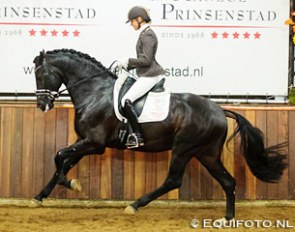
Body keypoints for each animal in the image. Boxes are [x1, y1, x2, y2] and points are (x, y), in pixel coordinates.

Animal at [31, 49, 286, 221]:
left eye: (41, 75)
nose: (42, 105)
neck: (95, 92)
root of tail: (219, 110)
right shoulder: (84, 141)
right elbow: (64, 162)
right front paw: (40, 196)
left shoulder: (95, 143)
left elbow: (59, 156)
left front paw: (70, 184)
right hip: (206, 153)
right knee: (227, 181)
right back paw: (228, 218)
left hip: (183, 148)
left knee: (173, 180)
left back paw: (135, 205)